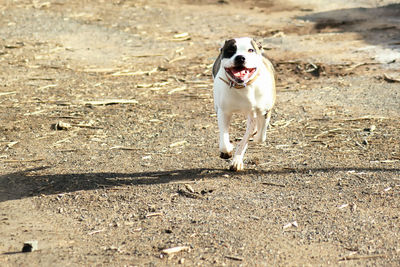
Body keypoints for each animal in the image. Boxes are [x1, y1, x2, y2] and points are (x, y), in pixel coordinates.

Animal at [212, 37, 276, 172]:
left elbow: (256, 137)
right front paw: (227, 151)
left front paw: (237, 159)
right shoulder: (223, 111)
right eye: (231, 50)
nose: (240, 57)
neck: (242, 87)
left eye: (251, 50)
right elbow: (224, 139)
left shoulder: (262, 111)